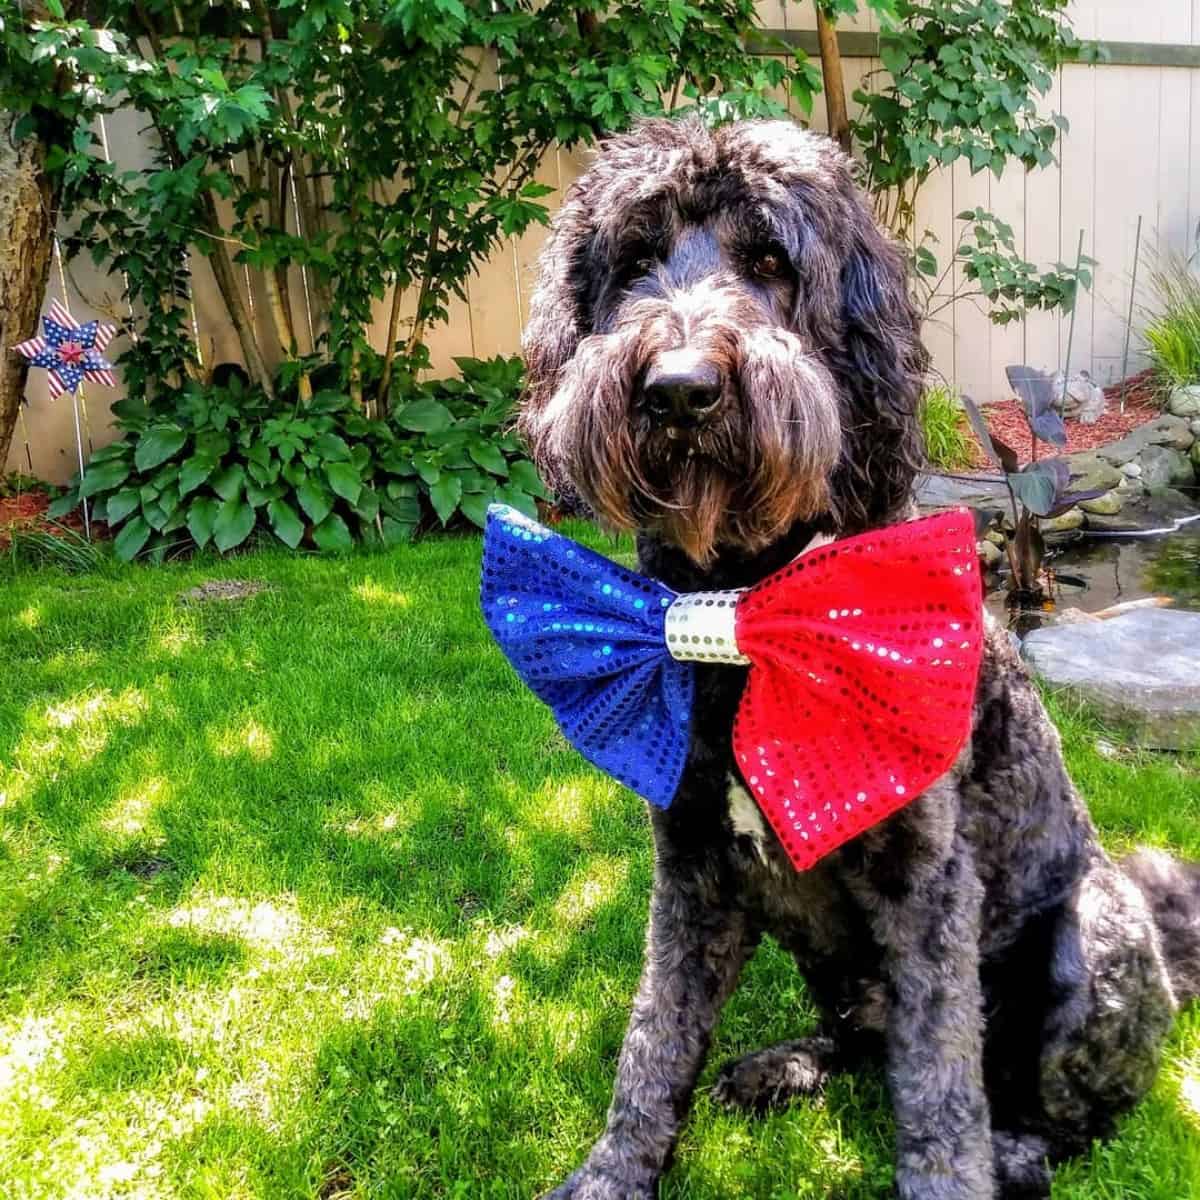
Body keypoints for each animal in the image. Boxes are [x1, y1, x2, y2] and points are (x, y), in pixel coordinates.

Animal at [518, 114, 1200, 1200]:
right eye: (632, 264)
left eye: (770, 260)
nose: (679, 391)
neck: (746, 605)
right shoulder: (692, 869)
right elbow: (655, 1037)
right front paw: (615, 1171)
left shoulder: (928, 889)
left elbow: (940, 1089)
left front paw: (957, 1173)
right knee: (862, 1040)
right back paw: (787, 1064)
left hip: (1091, 934)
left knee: (1067, 1110)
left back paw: (1019, 1151)